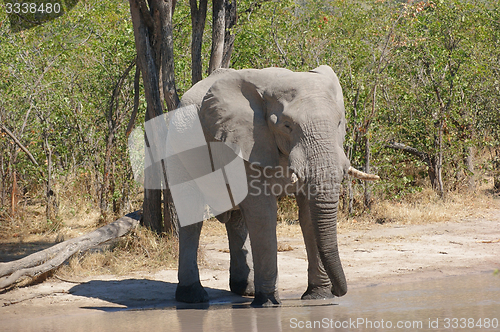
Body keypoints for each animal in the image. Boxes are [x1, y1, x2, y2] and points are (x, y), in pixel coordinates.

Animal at [174, 65, 376, 306]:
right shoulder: (248, 140)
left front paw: (318, 296)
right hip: (175, 146)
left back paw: (246, 289)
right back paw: (193, 296)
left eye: (338, 123)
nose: (338, 292)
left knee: (237, 220)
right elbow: (263, 212)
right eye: (287, 126)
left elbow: (308, 215)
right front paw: (267, 303)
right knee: (191, 215)